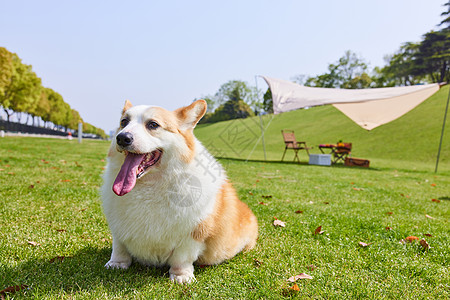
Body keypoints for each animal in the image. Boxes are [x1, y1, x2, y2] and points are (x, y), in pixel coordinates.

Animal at [100, 99, 258, 282]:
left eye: (153, 124)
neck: (151, 184)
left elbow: (182, 257)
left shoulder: (193, 232)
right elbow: (119, 247)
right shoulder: (118, 226)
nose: (122, 137)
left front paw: (181, 276)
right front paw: (117, 264)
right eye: (124, 122)